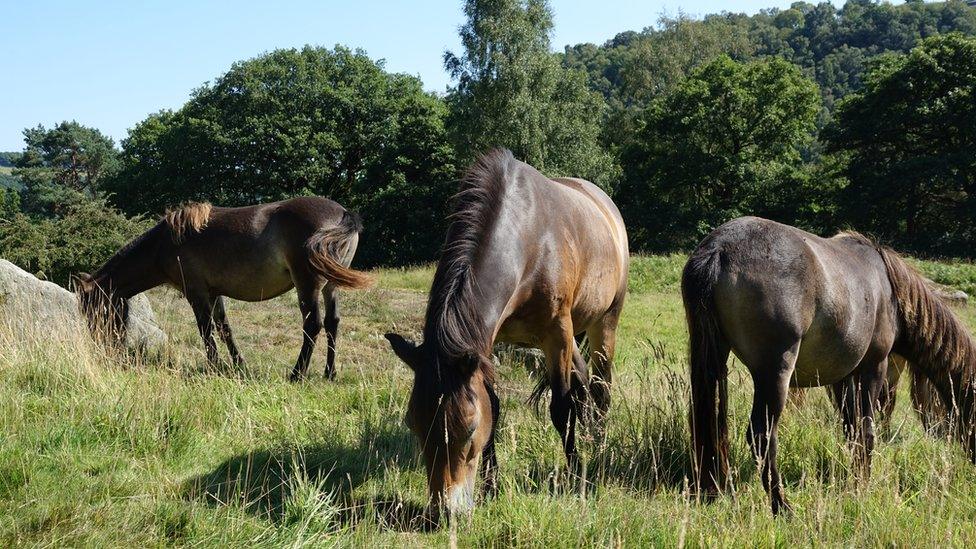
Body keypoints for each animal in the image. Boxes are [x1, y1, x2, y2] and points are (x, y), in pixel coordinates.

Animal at [76, 197, 372, 382]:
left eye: (91, 311)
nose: (100, 348)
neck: (165, 243)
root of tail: (343, 214)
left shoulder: (196, 294)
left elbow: (206, 331)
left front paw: (214, 366)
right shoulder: (214, 293)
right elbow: (224, 328)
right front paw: (239, 365)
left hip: (307, 285)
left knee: (313, 325)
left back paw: (296, 374)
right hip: (330, 286)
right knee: (333, 323)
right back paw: (329, 373)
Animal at [386, 149, 628, 520]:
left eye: (469, 429)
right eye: (413, 423)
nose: (446, 511)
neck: (530, 240)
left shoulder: (557, 333)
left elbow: (560, 408)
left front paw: (576, 479)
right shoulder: (487, 344)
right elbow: (496, 406)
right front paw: (492, 487)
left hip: (605, 324)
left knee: (601, 388)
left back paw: (598, 447)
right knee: (585, 382)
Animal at [684, 215, 976, 512]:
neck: (890, 292)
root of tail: (720, 249)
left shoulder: (844, 377)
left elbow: (851, 429)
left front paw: (854, 479)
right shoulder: (874, 367)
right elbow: (867, 430)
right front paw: (861, 486)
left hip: (716, 360)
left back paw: (714, 490)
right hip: (775, 373)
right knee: (761, 436)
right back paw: (782, 507)